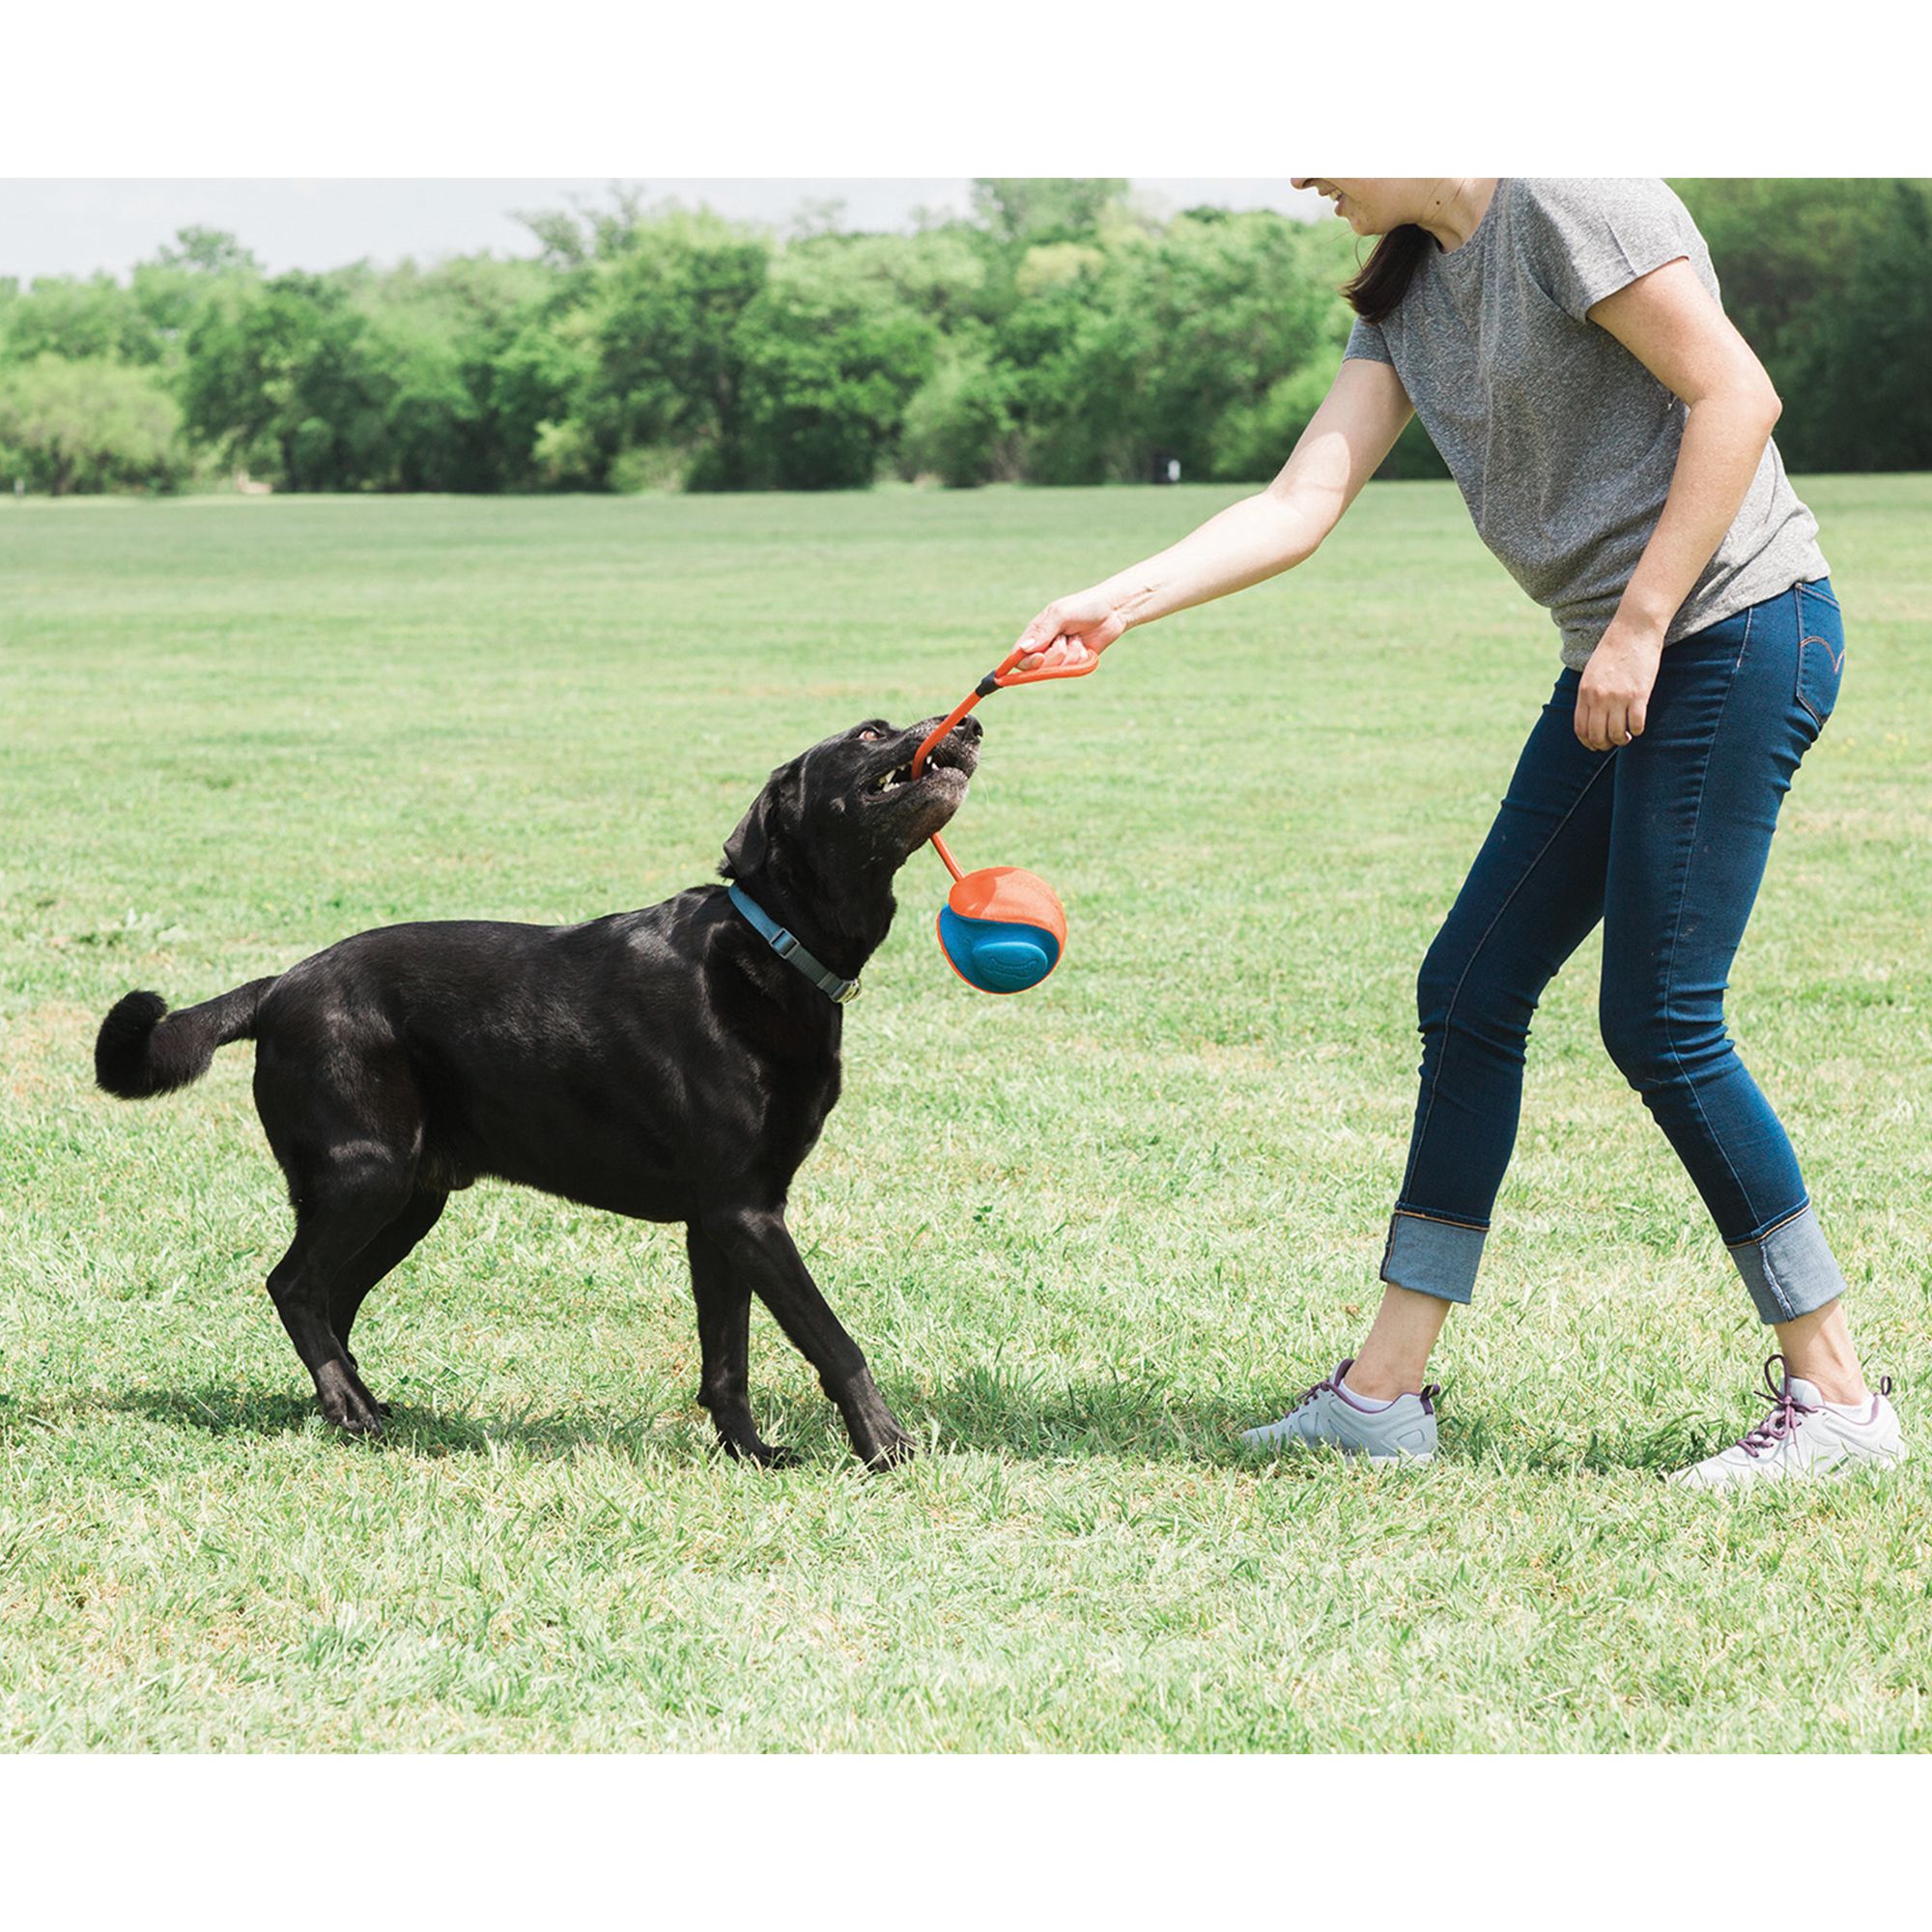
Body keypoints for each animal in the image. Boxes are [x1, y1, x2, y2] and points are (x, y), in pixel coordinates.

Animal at [94, 719, 981, 1468]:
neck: (776, 942)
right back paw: (352, 1409)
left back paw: (354, 1404)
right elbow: (831, 1339)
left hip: (407, 1199)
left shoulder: (723, 1220)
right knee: (295, 1287)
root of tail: (279, 986)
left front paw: (750, 1454)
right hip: (367, 1176)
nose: (969, 724)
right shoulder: (748, 1214)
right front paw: (888, 1447)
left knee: (329, 1300)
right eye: (869, 734)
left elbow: (726, 1358)